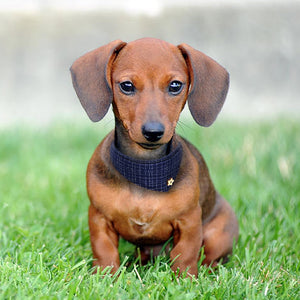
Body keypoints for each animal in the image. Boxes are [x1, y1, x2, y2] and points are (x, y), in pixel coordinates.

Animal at [70, 37, 239, 276]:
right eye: (127, 86)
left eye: (175, 85)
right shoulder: (98, 218)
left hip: (219, 234)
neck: (146, 169)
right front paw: (105, 275)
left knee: (211, 256)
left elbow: (185, 253)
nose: (153, 131)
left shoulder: (189, 221)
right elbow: (104, 249)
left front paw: (185, 279)